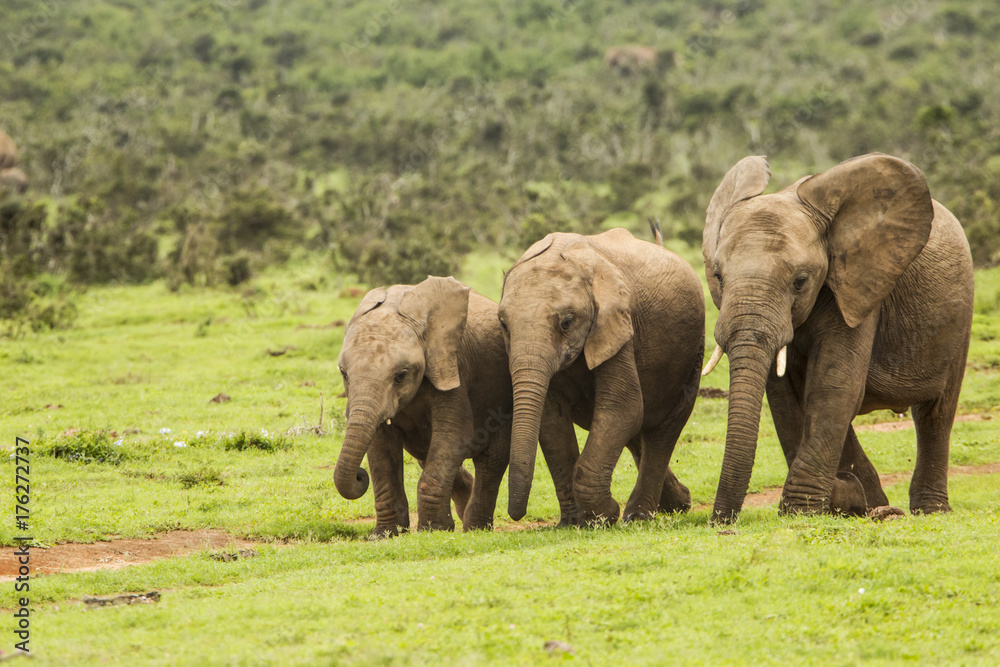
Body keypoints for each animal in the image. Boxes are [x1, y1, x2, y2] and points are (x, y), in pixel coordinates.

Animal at [334, 276, 515, 537]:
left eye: (401, 376)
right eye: (344, 374)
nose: (360, 475)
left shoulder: (454, 366)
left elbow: (453, 437)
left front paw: (434, 530)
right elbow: (381, 447)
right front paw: (385, 534)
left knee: (491, 461)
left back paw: (475, 528)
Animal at [500, 228, 705, 525]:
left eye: (567, 322)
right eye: (503, 324)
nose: (516, 514)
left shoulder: (619, 325)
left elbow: (622, 407)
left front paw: (604, 515)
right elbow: (551, 418)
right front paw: (575, 522)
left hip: (693, 353)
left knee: (664, 428)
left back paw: (639, 515)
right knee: (638, 431)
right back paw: (678, 503)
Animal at [701, 153, 974, 524]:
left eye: (800, 281)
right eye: (717, 276)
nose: (720, 520)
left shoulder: (859, 286)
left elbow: (833, 385)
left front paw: (801, 511)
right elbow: (785, 394)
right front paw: (840, 500)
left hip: (960, 311)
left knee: (936, 411)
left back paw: (926, 510)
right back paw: (873, 504)